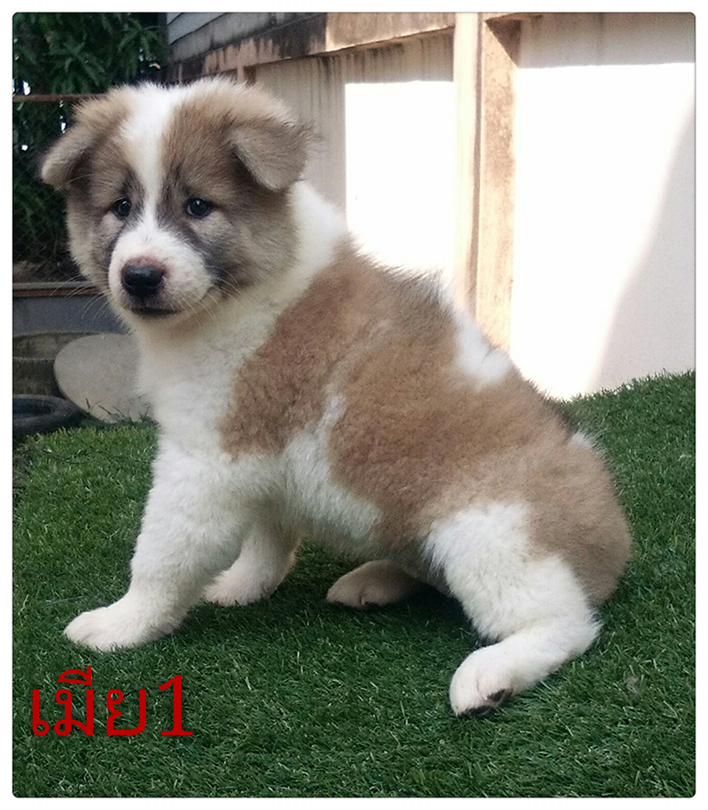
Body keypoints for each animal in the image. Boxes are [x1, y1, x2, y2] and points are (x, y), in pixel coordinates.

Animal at [41, 77, 631, 716]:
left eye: (198, 205)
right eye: (120, 208)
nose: (140, 276)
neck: (240, 295)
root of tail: (615, 542)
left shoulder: (208, 460)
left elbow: (162, 555)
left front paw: (121, 623)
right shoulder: (255, 465)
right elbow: (266, 539)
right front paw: (241, 586)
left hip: (491, 534)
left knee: (565, 623)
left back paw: (491, 672)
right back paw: (371, 581)